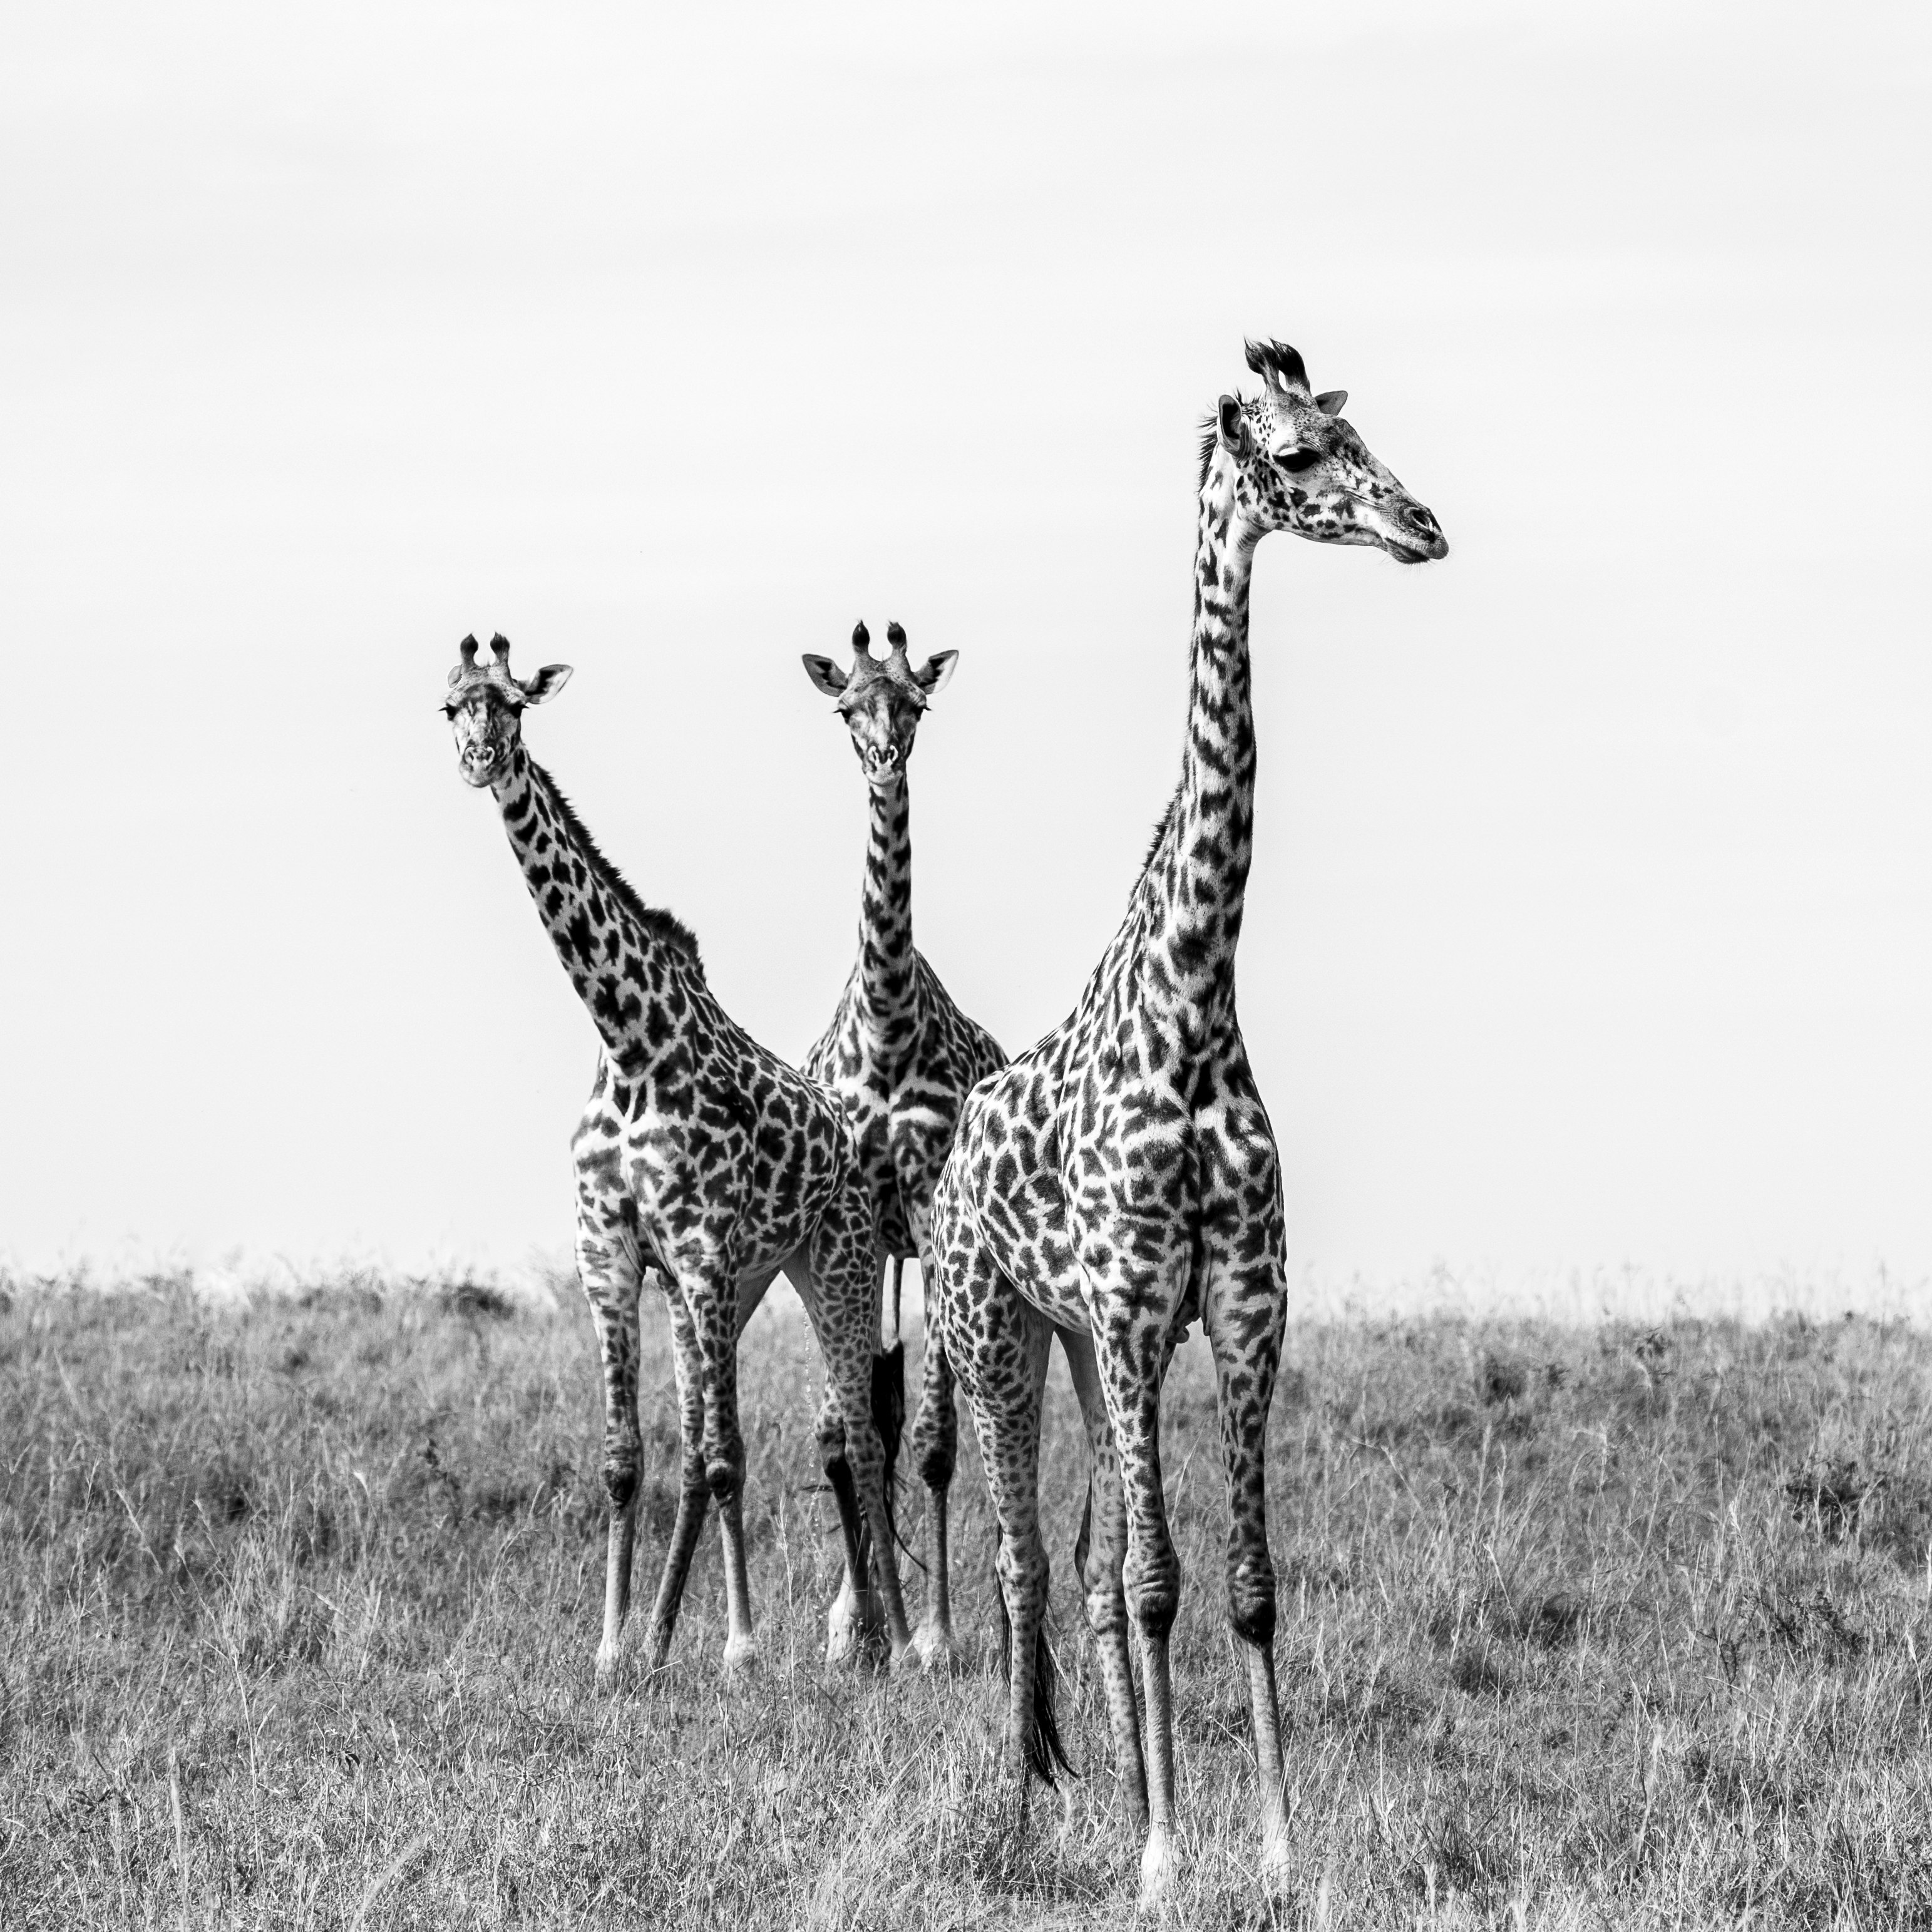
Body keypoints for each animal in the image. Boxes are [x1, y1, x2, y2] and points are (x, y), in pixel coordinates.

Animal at [444, 630, 912, 1677]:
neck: (630, 1041)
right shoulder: (611, 1253)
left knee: (860, 1434)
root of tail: (853, 1131)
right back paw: (671, 1638)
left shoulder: (698, 1252)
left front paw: (740, 1649)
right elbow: (630, 1460)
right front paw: (615, 1648)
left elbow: (732, 1455)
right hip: (757, 1279)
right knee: (722, 1442)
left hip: (838, 1259)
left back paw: (901, 1641)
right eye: (451, 705)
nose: (481, 758)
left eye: (514, 704)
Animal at [923, 336, 1452, 1901]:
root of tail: (952, 1147)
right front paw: (1167, 1856)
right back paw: (1028, 1808)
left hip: (1097, 1351)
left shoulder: (1233, 1298)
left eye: (1356, 433)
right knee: (1026, 1562)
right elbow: (1157, 1580)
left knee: (1091, 1568)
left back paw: (1099, 1793)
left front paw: (1271, 1848)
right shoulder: (1126, 1295)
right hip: (999, 1329)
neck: (1196, 999)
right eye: (1292, 456)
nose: (1422, 526)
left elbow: (1242, 1584)